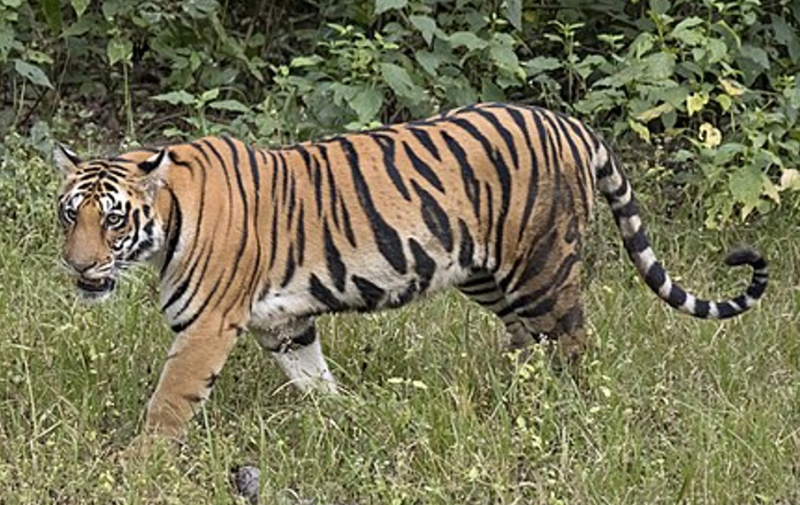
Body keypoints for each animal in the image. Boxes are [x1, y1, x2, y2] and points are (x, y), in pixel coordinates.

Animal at [54, 102, 768, 440]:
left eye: (112, 220)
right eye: (69, 215)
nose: (78, 266)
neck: (167, 220)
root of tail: (568, 122)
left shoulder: (206, 326)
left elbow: (169, 402)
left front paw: (141, 466)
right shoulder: (283, 323)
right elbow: (313, 378)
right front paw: (343, 420)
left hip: (542, 268)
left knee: (572, 342)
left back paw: (570, 408)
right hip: (488, 275)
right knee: (525, 341)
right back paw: (510, 397)